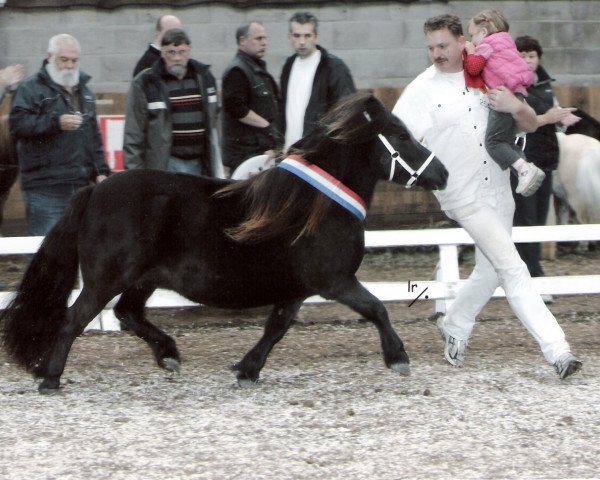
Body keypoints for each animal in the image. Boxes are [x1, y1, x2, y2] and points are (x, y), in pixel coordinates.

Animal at [1, 92, 446, 392]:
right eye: (400, 135)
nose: (441, 173)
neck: (315, 205)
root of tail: (94, 190)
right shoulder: (333, 281)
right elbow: (376, 309)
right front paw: (398, 358)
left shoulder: (297, 289)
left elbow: (276, 328)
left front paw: (247, 370)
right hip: (105, 279)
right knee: (74, 320)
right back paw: (51, 379)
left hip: (144, 278)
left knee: (128, 314)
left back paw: (168, 355)